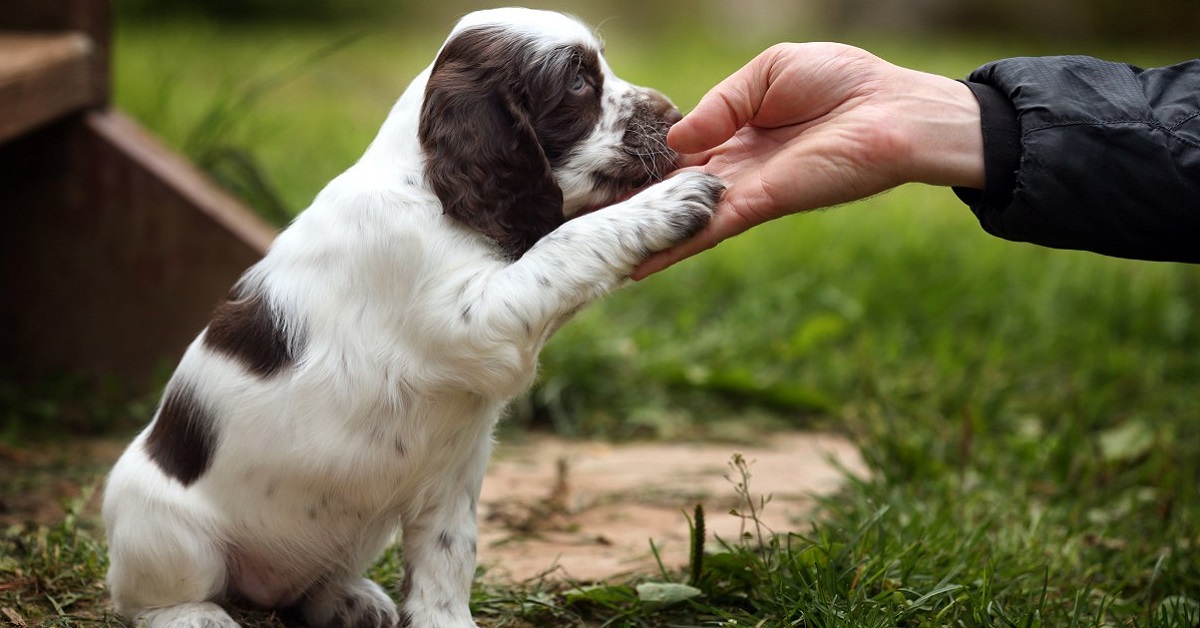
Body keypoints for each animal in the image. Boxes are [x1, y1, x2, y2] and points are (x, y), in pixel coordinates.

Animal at [103, 6, 720, 628]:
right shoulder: (476, 320)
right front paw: (667, 203)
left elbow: (447, 561)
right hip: (166, 532)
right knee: (149, 596)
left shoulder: (451, 480)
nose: (676, 117)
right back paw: (196, 615)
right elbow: (565, 245)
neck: (429, 188)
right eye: (576, 83)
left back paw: (350, 600)